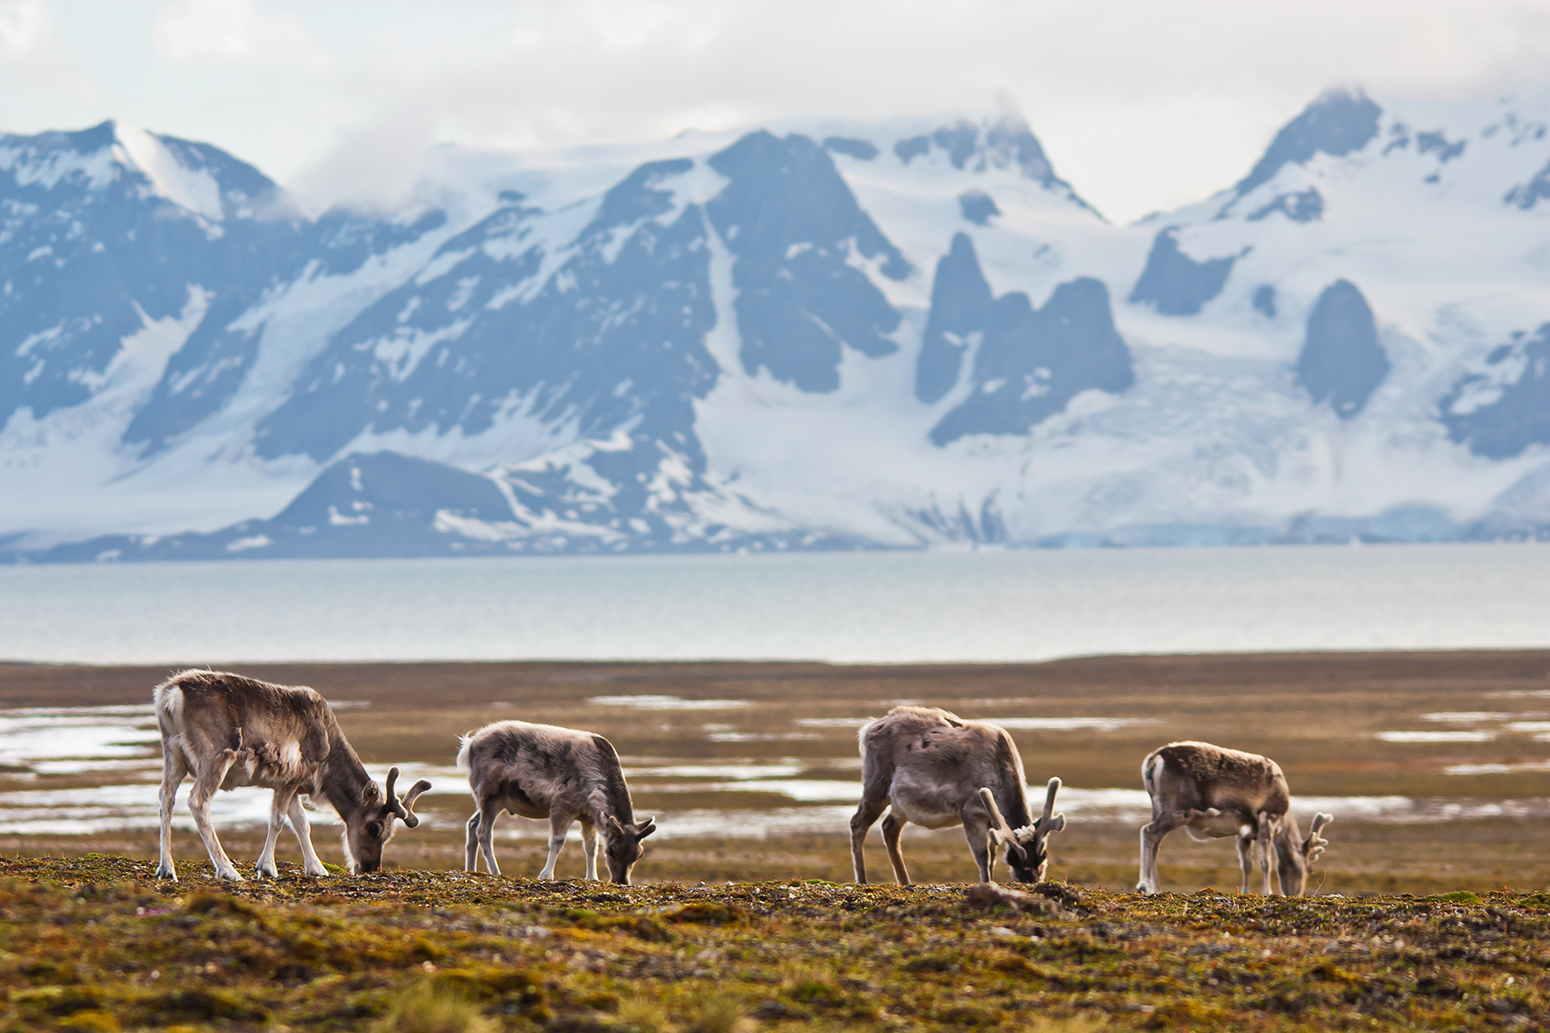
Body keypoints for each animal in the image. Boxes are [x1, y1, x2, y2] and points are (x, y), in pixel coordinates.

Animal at [153, 669, 431, 882]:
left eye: (389, 834)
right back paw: (228, 870)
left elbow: (301, 823)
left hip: (173, 753)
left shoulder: (292, 786)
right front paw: (266, 867)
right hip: (216, 755)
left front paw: (316, 868)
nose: (371, 867)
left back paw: (166, 869)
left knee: (166, 796)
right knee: (198, 801)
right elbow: (278, 820)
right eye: (374, 828)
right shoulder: (291, 779)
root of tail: (171, 695)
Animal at [458, 720, 656, 884]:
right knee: (483, 832)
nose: (621, 881)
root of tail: (469, 744)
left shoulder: (588, 816)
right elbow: (557, 842)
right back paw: (495, 871)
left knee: (472, 824)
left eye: (639, 854)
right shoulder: (561, 806)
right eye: (611, 851)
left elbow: (591, 847)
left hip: (498, 801)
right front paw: (546, 875)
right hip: (488, 794)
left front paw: (592, 877)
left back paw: (471, 870)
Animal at [850, 705, 1066, 885]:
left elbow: (992, 859)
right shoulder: (970, 813)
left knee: (889, 829)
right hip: (876, 784)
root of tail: (868, 728)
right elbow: (983, 857)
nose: (1030, 880)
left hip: (901, 805)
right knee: (858, 823)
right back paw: (862, 880)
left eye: (1043, 855)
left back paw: (905, 881)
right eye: (1012, 858)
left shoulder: (991, 821)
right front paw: (987, 883)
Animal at [1137, 740, 1332, 896]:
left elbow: (1247, 864)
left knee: (1155, 843)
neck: (1283, 823)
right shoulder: (1267, 817)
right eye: (1310, 869)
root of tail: (1153, 760)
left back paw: (1155, 888)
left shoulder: (1244, 832)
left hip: (1157, 807)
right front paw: (1267, 892)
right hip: (1176, 810)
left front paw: (1246, 892)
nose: (1296, 893)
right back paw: (1146, 886)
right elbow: (1266, 862)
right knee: (1148, 832)